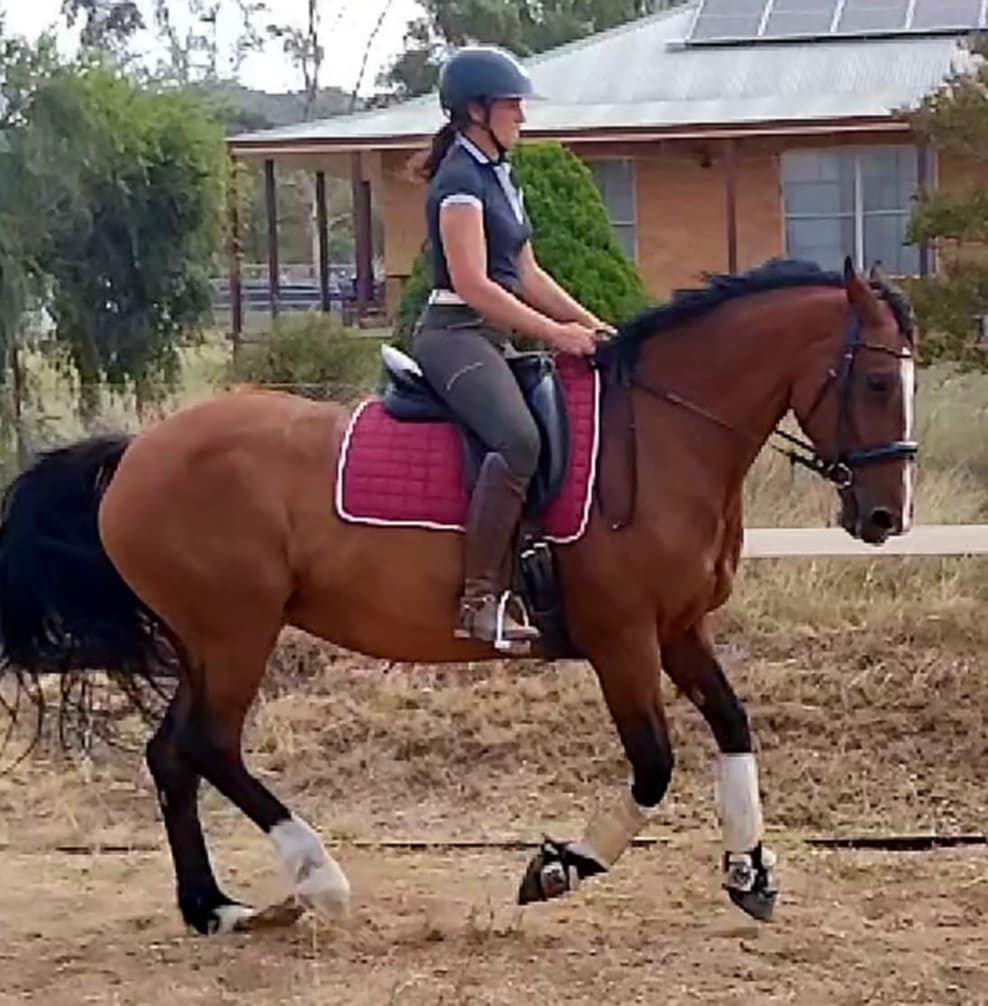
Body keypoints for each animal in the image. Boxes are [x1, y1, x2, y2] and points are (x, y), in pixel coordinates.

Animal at [0, 257, 917, 936]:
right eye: (875, 383)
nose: (884, 517)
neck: (663, 435)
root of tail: (137, 452)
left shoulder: (680, 628)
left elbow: (732, 726)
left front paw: (748, 870)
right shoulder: (623, 638)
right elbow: (654, 765)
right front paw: (558, 866)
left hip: (205, 640)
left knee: (173, 756)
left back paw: (212, 907)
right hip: (235, 633)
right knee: (211, 746)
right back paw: (318, 881)